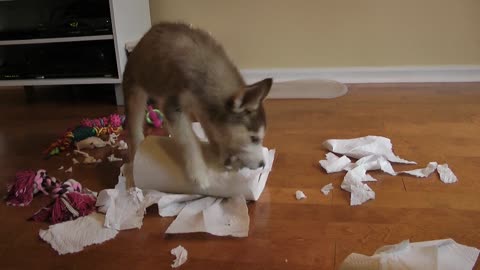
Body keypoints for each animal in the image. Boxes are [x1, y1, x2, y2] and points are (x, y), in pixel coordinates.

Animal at [122, 22, 272, 189]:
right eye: (254, 138)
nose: (262, 164)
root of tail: (144, 37)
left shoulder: (201, 107)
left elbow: (212, 129)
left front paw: (220, 151)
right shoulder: (173, 105)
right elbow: (188, 140)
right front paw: (199, 172)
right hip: (135, 92)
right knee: (135, 129)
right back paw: (133, 162)